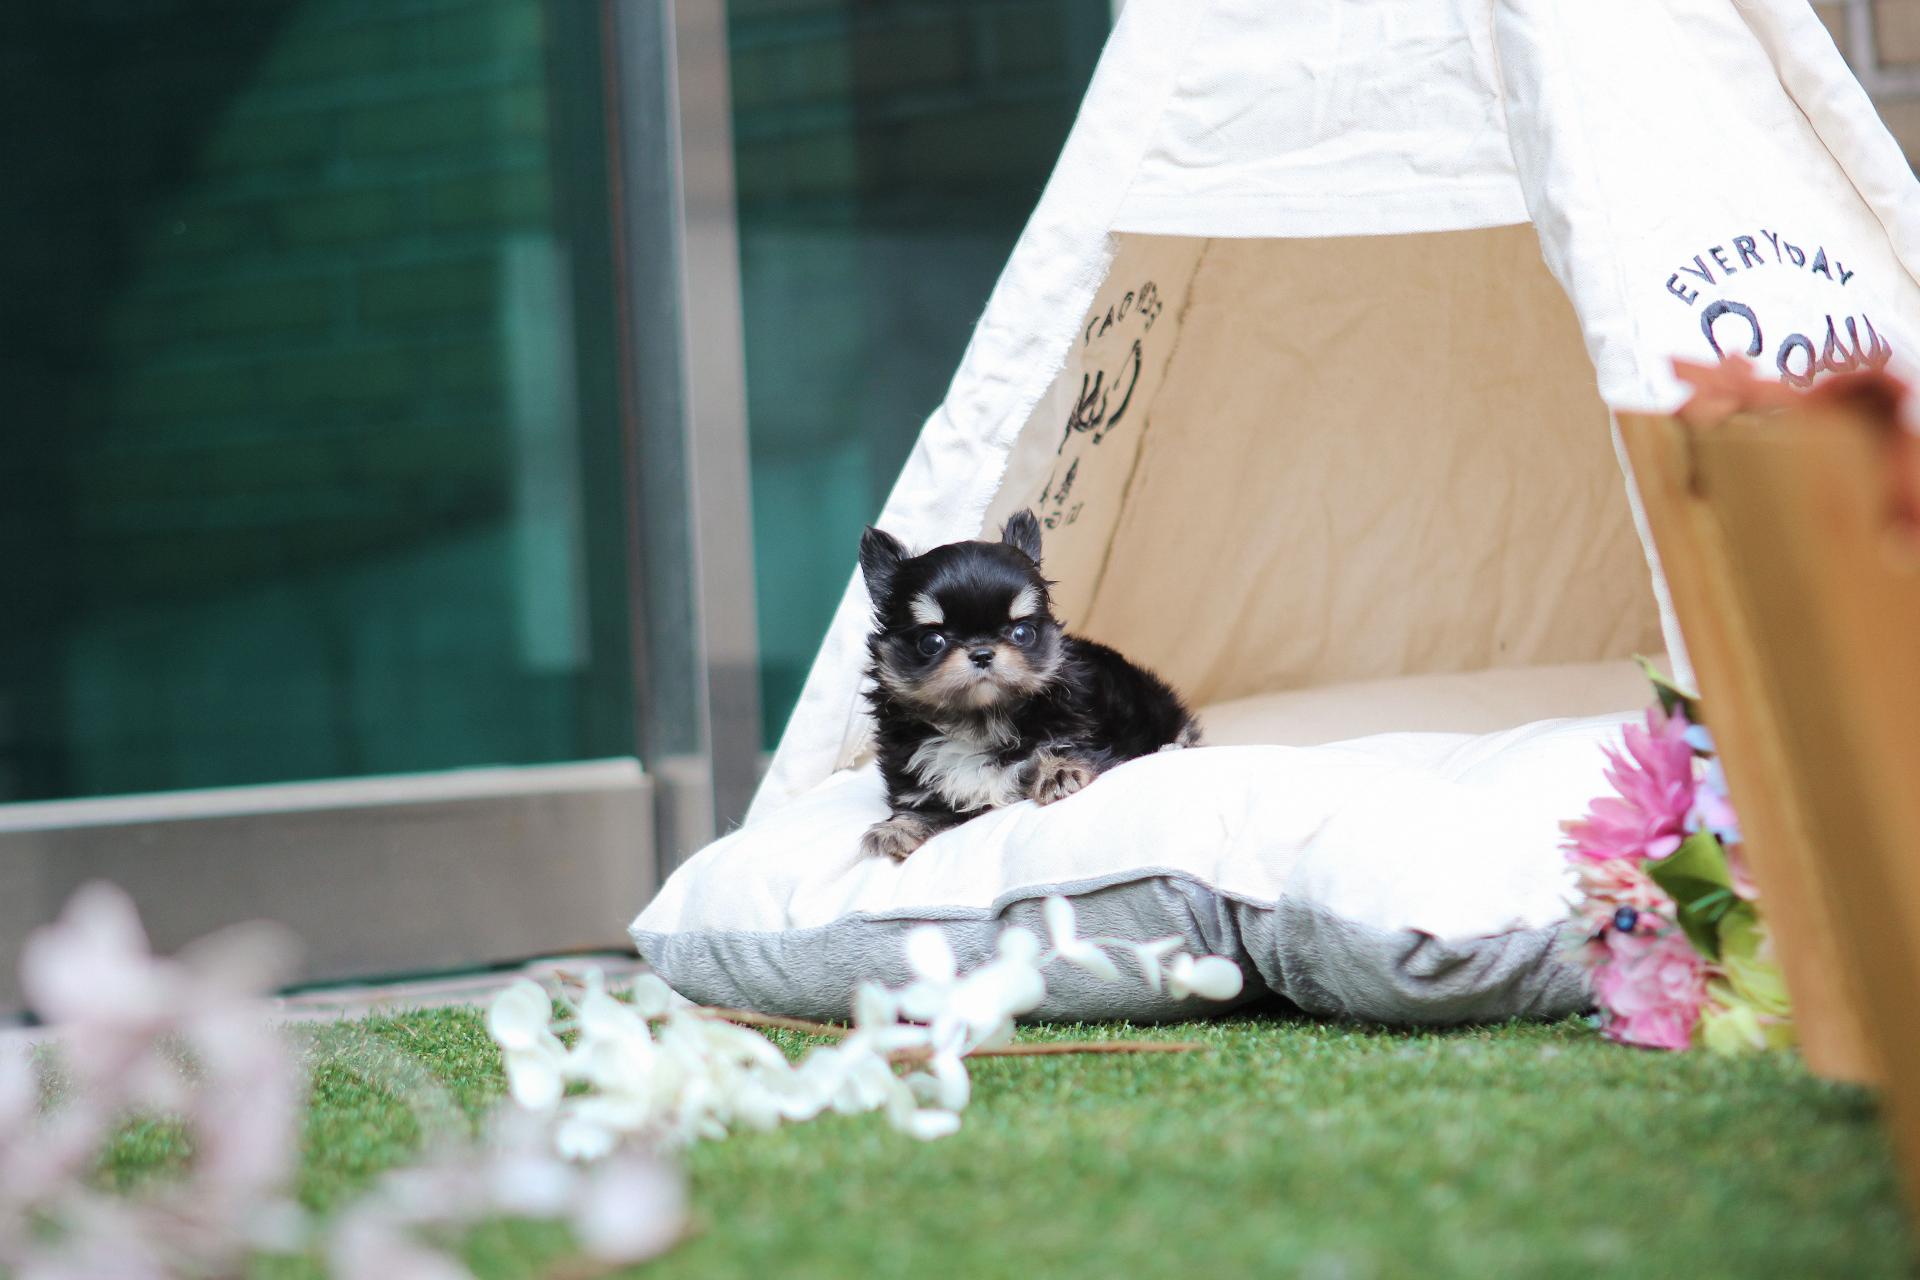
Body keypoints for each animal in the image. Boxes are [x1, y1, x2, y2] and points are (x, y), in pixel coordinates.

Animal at [856, 509, 1198, 860]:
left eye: (1022, 634)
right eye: (931, 642)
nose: (982, 653)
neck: (981, 722)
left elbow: (1059, 748)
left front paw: (1058, 771)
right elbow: (920, 806)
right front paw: (898, 828)